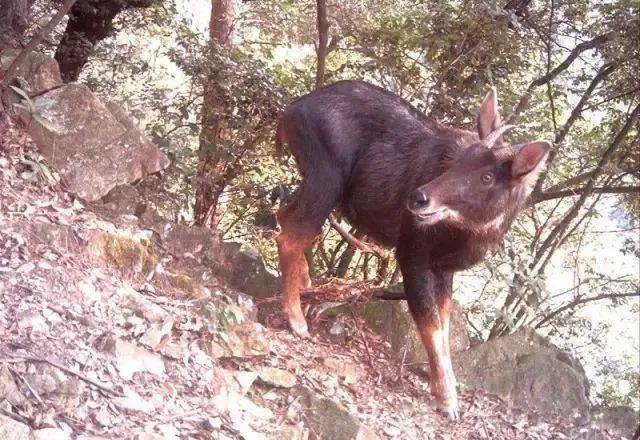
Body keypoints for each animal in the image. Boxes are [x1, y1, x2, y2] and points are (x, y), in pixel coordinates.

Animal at [276, 81, 552, 422]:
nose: (419, 197)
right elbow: (430, 324)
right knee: (290, 235)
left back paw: (304, 283)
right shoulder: (412, 255)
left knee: (284, 217)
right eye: (459, 160)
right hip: (326, 178)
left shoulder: (444, 269)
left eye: (487, 176)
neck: (465, 235)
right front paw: (447, 401)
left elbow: (444, 326)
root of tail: (290, 111)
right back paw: (296, 319)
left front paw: (441, 387)